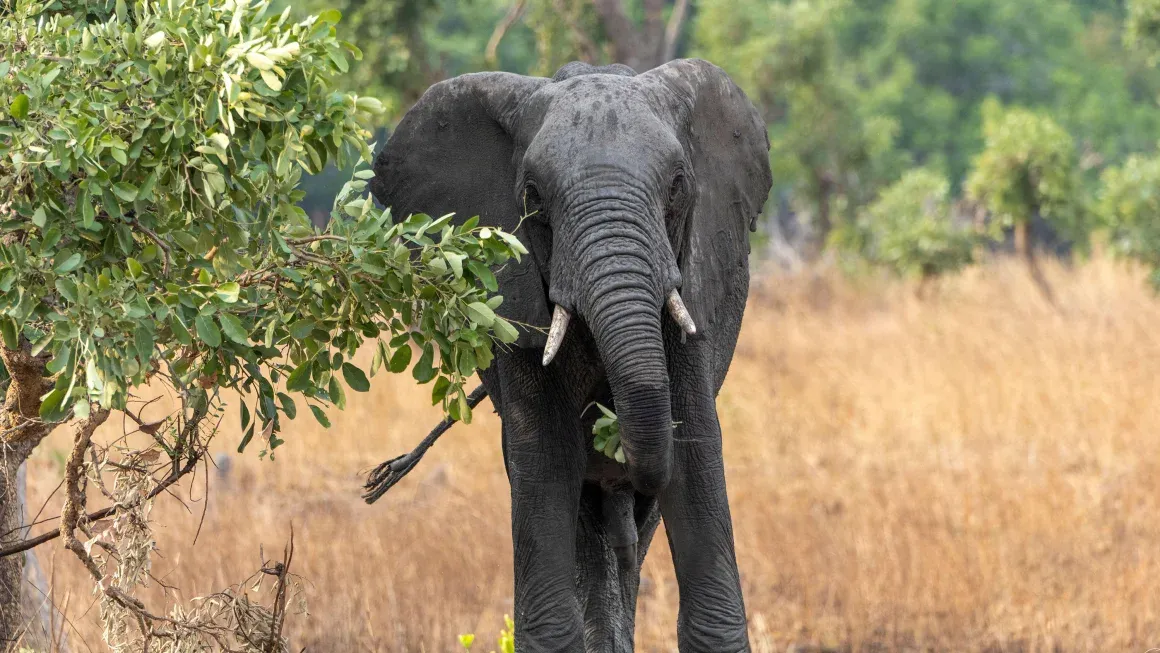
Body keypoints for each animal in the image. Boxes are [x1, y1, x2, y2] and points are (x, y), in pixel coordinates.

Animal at [369, 59, 772, 653]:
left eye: (678, 187)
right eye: (533, 197)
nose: (614, 438)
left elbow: (694, 446)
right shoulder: (513, 301)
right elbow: (548, 459)